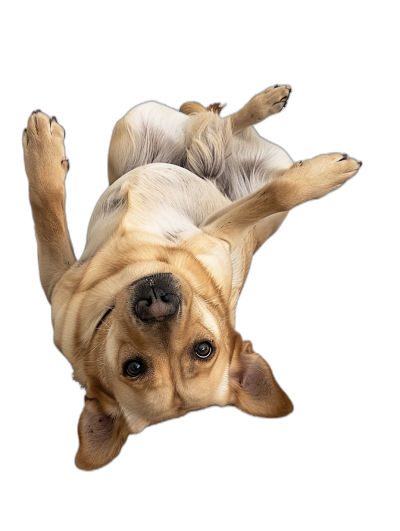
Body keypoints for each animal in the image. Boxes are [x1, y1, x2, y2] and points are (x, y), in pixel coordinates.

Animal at [21, 85, 362, 472]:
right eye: (134, 367)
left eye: (203, 350)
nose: (157, 302)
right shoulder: (59, 281)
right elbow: (46, 208)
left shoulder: (214, 232)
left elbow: (277, 194)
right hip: (137, 129)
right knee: (212, 127)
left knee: (217, 127)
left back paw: (257, 106)